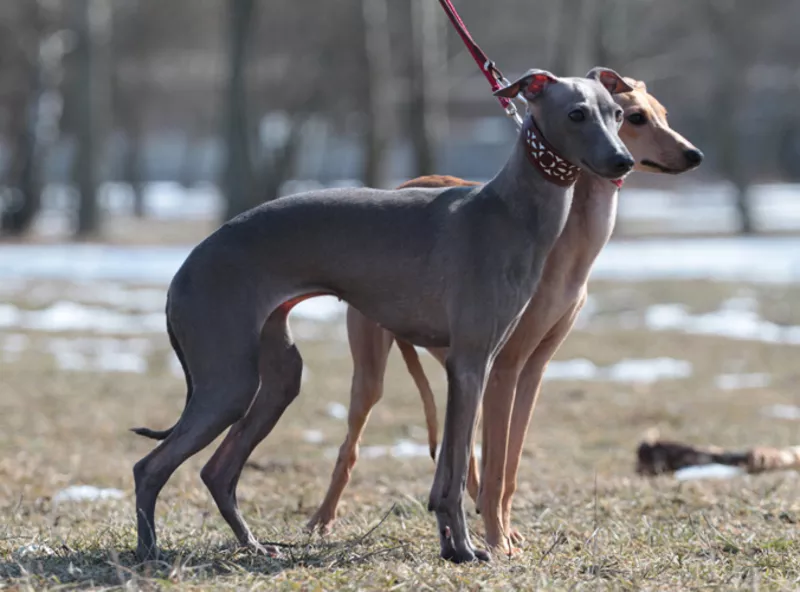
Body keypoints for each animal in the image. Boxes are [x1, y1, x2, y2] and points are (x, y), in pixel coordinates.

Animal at [130, 67, 632, 560]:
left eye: (618, 114)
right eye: (576, 113)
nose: (623, 162)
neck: (509, 210)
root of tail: (186, 266)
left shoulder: (471, 367)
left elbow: (448, 470)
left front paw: (452, 546)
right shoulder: (473, 362)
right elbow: (456, 474)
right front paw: (469, 548)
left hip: (276, 378)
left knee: (217, 470)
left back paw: (254, 545)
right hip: (229, 381)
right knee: (149, 467)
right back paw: (149, 552)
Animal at [306, 80, 700, 556]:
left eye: (658, 113)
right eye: (636, 117)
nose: (694, 154)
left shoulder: (531, 368)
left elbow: (508, 463)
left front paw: (503, 532)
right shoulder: (507, 364)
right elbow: (496, 465)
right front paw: (498, 540)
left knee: (464, 450)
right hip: (374, 371)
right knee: (351, 447)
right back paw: (322, 521)